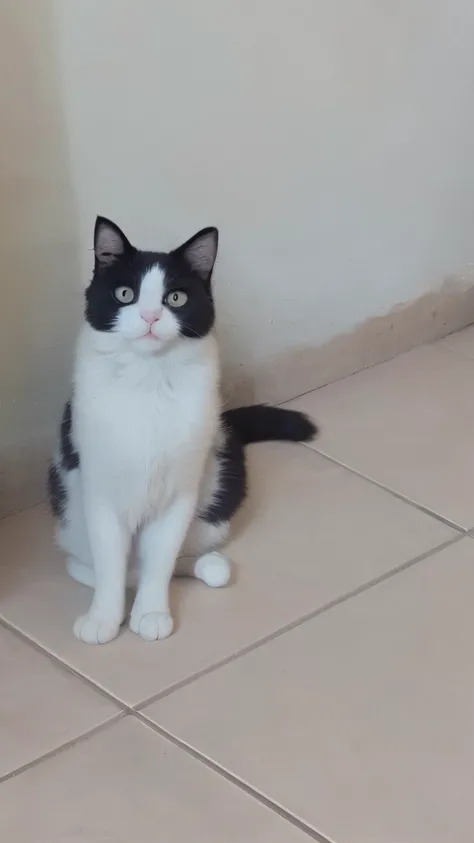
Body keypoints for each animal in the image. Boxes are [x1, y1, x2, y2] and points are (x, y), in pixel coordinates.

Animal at [48, 218, 316, 648]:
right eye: (125, 294)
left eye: (175, 298)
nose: (151, 316)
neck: (148, 379)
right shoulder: (100, 490)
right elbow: (110, 563)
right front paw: (104, 618)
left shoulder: (180, 493)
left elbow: (160, 560)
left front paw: (151, 614)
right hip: (71, 511)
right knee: (93, 563)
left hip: (217, 498)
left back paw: (206, 567)